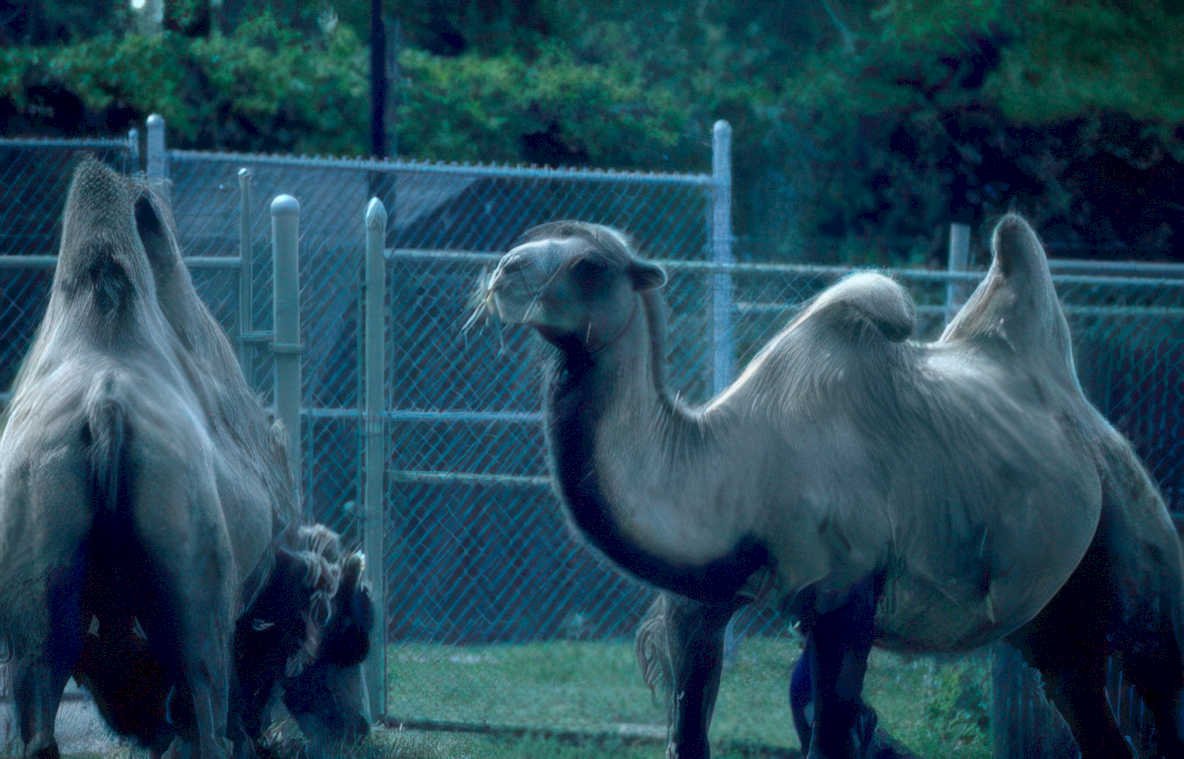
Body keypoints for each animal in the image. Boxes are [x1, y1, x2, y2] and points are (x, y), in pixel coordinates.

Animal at [0, 161, 369, 758]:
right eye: (347, 635)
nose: (356, 727)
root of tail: (105, 406)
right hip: (195, 607)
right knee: (205, 712)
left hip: (37, 586)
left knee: (36, 719)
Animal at [482, 218, 1184, 758]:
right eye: (529, 238)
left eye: (589, 263)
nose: (503, 272)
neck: (735, 469)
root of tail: (1090, 420)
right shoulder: (699, 605)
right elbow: (689, 736)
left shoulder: (845, 593)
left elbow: (830, 736)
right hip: (1056, 626)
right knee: (1085, 702)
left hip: (1138, 552)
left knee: (1159, 674)